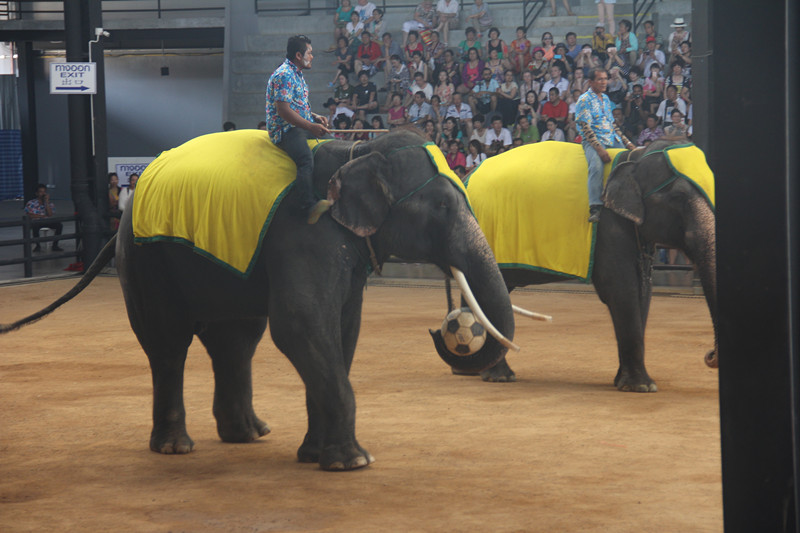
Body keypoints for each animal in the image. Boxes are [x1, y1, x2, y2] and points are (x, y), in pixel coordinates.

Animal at [0, 129, 517, 471]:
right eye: (443, 207)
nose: (444, 327)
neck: (358, 151)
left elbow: (342, 330)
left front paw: (315, 457)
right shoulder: (305, 233)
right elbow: (300, 324)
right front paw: (354, 462)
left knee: (235, 340)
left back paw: (248, 435)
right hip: (148, 260)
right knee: (168, 344)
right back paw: (176, 448)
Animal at [432, 139, 717, 392]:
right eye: (679, 197)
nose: (709, 355)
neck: (634, 157)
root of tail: (464, 177)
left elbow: (642, 293)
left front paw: (623, 382)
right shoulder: (608, 227)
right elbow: (622, 290)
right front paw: (641, 387)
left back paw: (469, 369)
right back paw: (498, 377)